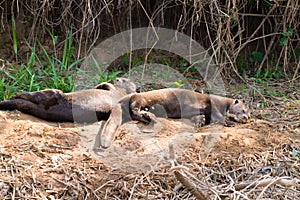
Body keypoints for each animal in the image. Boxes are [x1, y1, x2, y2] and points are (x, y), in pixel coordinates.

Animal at [0, 77, 136, 122]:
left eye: (124, 79)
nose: (116, 78)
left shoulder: (115, 91)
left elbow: (107, 85)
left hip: (53, 93)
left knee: (32, 95)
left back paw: (16, 94)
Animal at [99, 88, 250, 148]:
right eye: (243, 110)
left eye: (249, 115)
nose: (245, 118)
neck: (223, 103)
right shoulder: (212, 103)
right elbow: (217, 115)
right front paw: (229, 122)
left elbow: (202, 117)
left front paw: (200, 122)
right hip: (139, 98)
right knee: (134, 109)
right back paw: (148, 116)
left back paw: (149, 115)